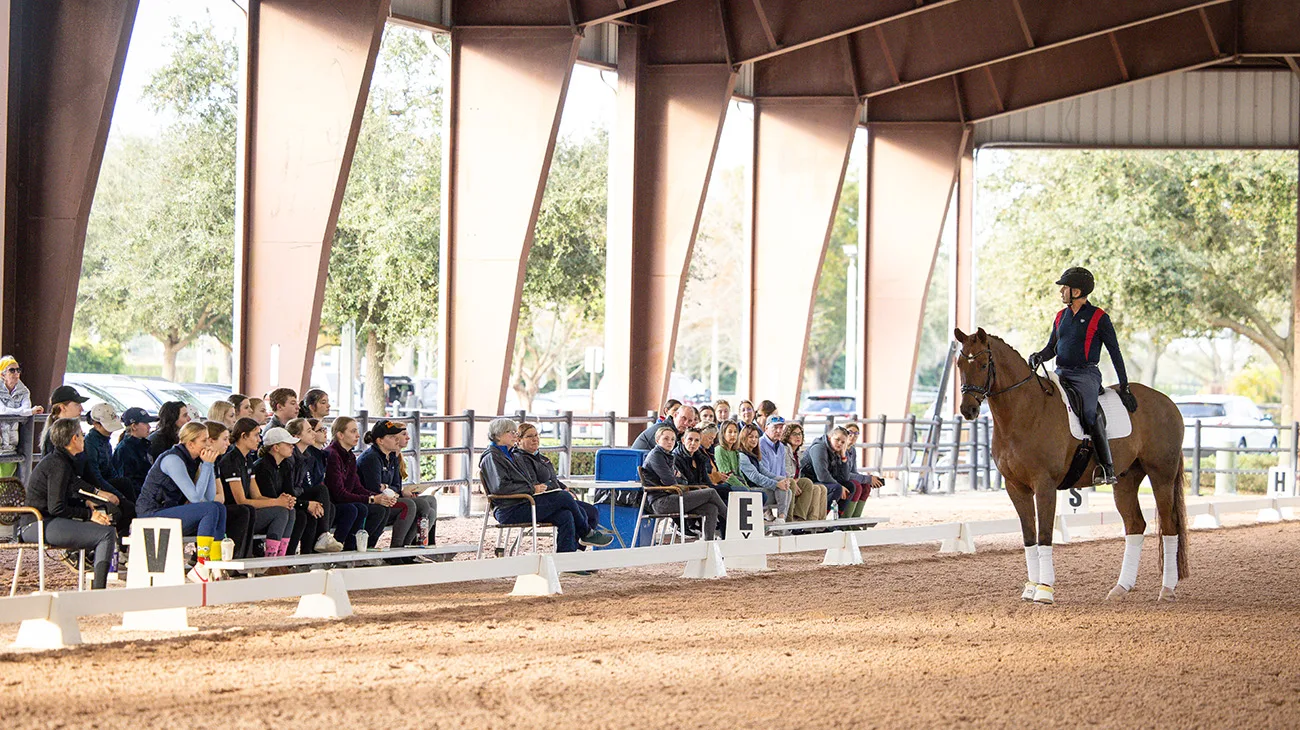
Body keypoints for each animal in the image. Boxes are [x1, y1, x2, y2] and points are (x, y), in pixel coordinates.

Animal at [946, 327, 1190, 600]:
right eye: (959, 364)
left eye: (983, 364)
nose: (967, 410)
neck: (1024, 412)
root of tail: (1168, 402)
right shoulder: (1015, 487)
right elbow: (1029, 536)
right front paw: (1030, 588)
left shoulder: (1044, 485)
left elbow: (1044, 534)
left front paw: (1044, 590)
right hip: (1126, 480)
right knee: (1135, 525)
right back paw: (1121, 588)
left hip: (1161, 476)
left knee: (1169, 526)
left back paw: (1167, 590)